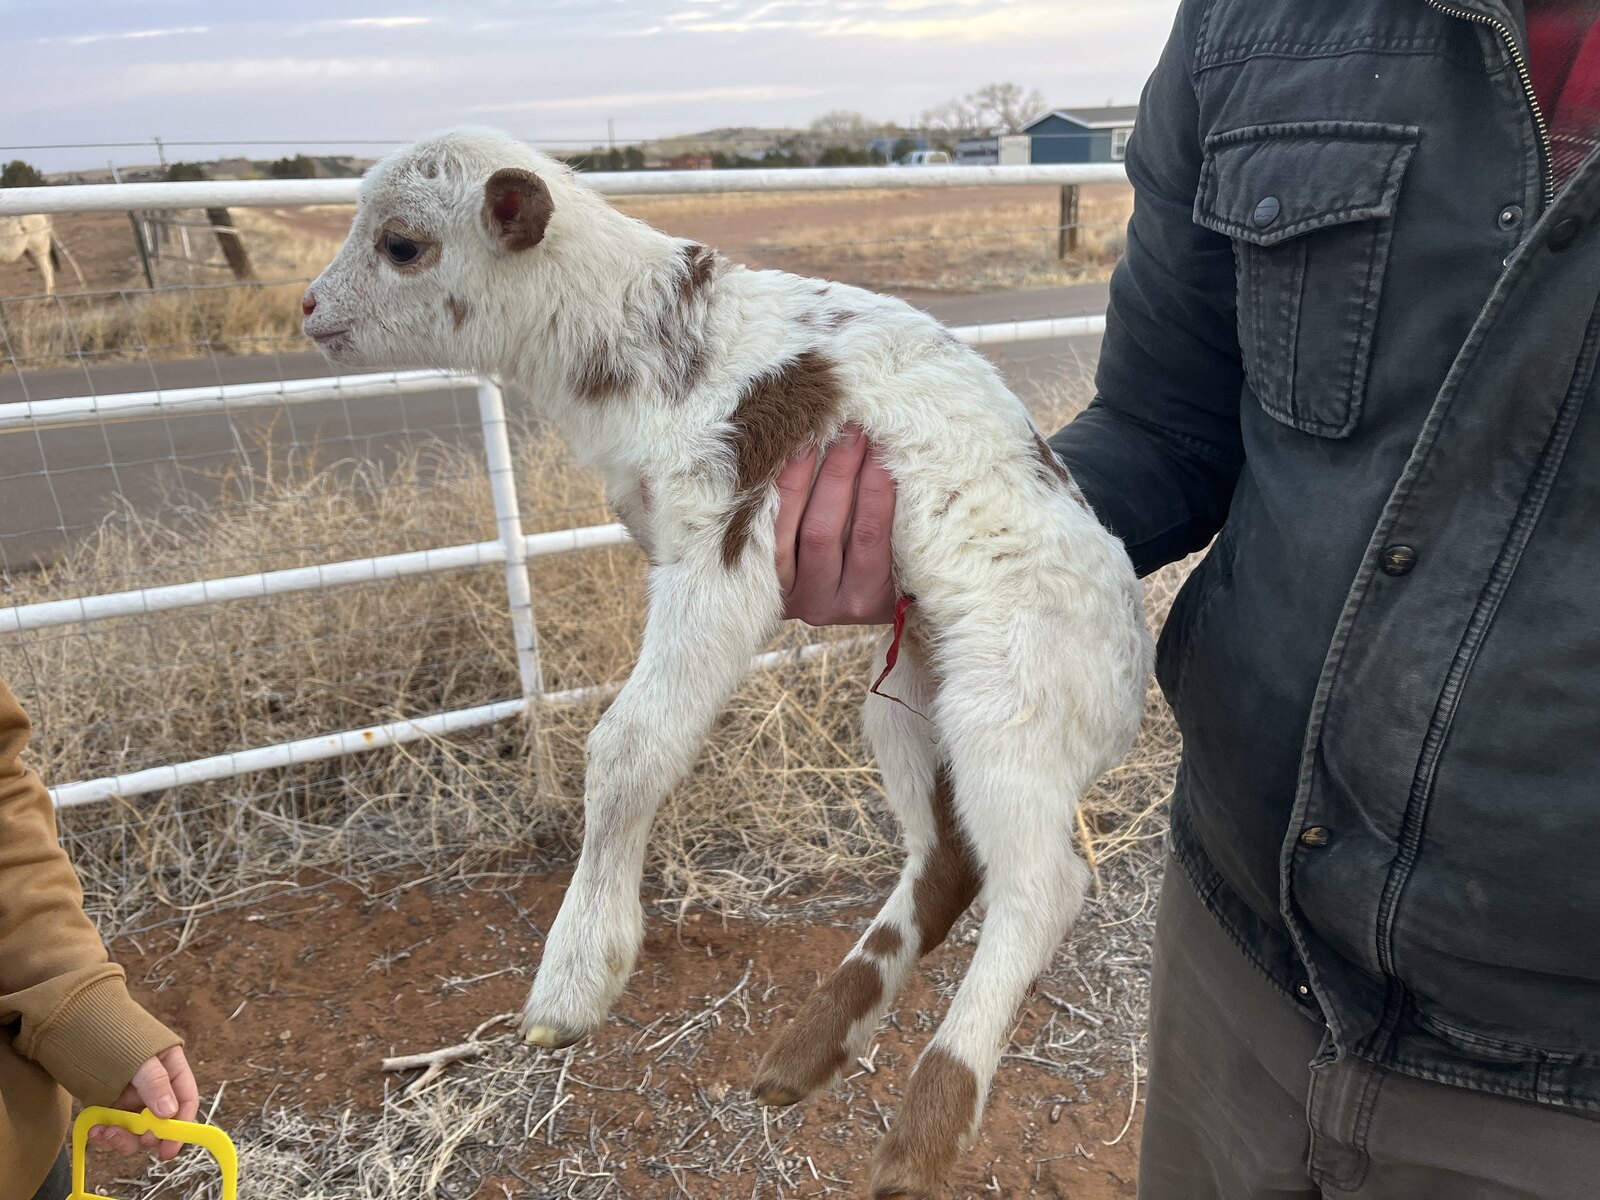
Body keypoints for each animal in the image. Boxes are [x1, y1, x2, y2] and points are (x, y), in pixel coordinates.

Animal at [303, 127, 1151, 1199]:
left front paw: (573, 979)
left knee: (1045, 885)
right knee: (950, 857)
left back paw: (922, 1132)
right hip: (912, 686)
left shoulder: (726, 534)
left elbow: (629, 745)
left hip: (1018, 696)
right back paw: (808, 1051)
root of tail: (1132, 676)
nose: (308, 308)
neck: (647, 342)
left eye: (403, 245)